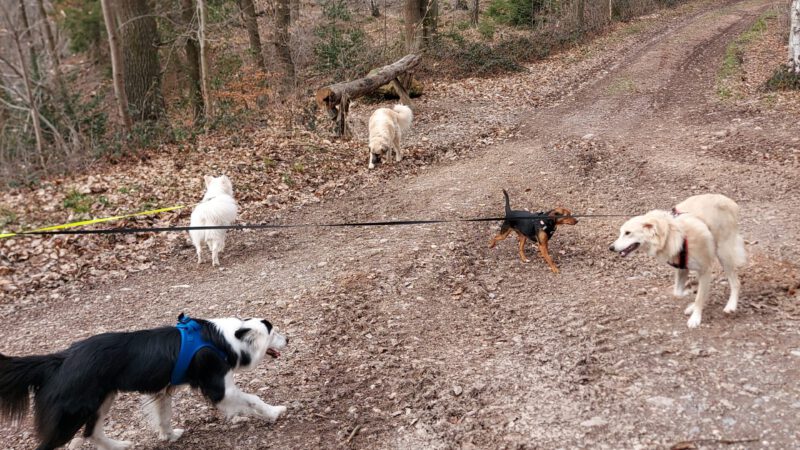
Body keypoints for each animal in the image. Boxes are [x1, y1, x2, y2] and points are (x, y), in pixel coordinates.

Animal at [0, 314, 288, 450]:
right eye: (274, 332)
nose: (288, 339)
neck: (224, 339)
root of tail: (59, 359)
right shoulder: (220, 388)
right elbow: (252, 399)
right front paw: (274, 412)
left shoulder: (163, 390)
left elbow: (164, 416)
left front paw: (169, 436)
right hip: (71, 415)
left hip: (102, 399)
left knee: (92, 432)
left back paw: (119, 446)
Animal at [608, 193, 748, 326]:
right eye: (621, 232)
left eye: (628, 233)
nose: (611, 248)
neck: (671, 234)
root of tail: (730, 202)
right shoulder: (682, 267)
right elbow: (678, 292)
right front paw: (689, 292)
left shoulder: (705, 269)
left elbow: (699, 297)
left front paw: (695, 318)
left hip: (724, 254)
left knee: (735, 283)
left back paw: (731, 306)